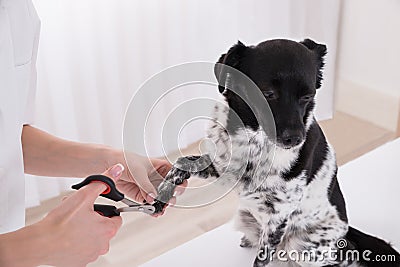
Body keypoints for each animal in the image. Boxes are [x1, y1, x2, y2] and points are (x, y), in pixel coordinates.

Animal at [153, 38, 400, 266]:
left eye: (307, 96)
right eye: (268, 93)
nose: (295, 139)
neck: (255, 140)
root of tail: (346, 230)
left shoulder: (278, 216)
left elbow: (262, 259)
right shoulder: (222, 169)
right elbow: (182, 162)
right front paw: (160, 199)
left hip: (305, 247)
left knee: (345, 255)